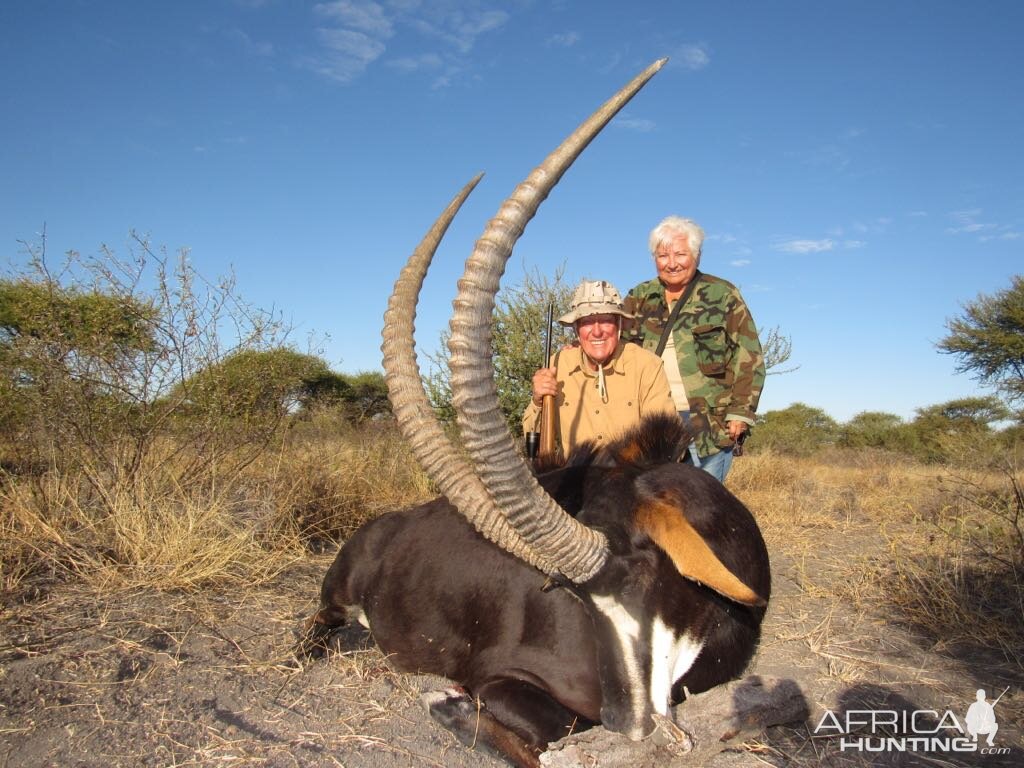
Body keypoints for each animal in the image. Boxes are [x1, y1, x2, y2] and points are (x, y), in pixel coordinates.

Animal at [301, 60, 770, 768]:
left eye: (644, 570)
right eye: (576, 599)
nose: (628, 721)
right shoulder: (502, 676)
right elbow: (539, 733)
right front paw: (445, 701)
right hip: (334, 598)